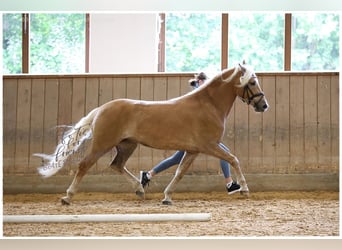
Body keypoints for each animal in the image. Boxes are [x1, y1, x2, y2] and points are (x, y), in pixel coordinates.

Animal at [35, 61, 270, 205]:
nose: (263, 105)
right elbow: (233, 159)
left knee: (116, 165)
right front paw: (244, 188)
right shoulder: (209, 146)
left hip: (127, 145)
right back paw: (67, 197)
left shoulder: (193, 150)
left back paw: (140, 189)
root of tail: (102, 108)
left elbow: (179, 172)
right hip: (102, 144)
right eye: (252, 82)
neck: (208, 105)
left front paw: (166, 197)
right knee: (84, 165)